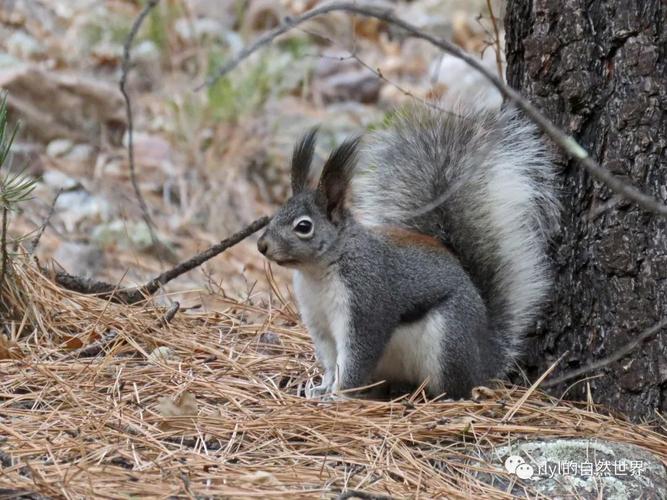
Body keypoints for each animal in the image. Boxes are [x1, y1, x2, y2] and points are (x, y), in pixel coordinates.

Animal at [258, 104, 560, 398]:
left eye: (303, 226)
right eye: (277, 212)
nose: (262, 245)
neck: (318, 272)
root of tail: (484, 358)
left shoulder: (365, 304)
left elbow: (356, 358)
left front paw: (339, 394)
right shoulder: (318, 322)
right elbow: (332, 361)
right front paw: (321, 388)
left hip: (448, 339)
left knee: (456, 386)